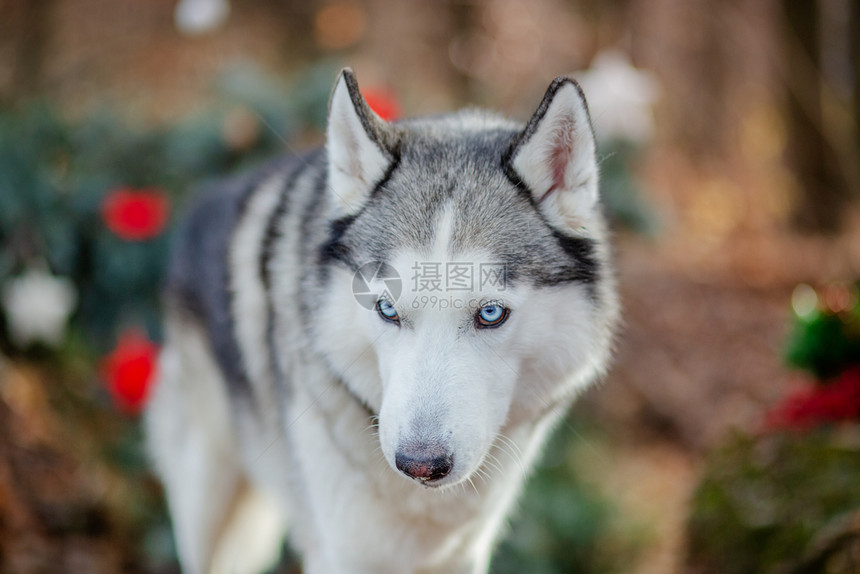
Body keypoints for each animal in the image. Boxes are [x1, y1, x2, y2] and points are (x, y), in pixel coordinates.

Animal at [146, 68, 620, 574]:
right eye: (387, 310)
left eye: (490, 313)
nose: (420, 464)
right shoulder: (342, 554)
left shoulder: (463, 554)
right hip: (207, 500)